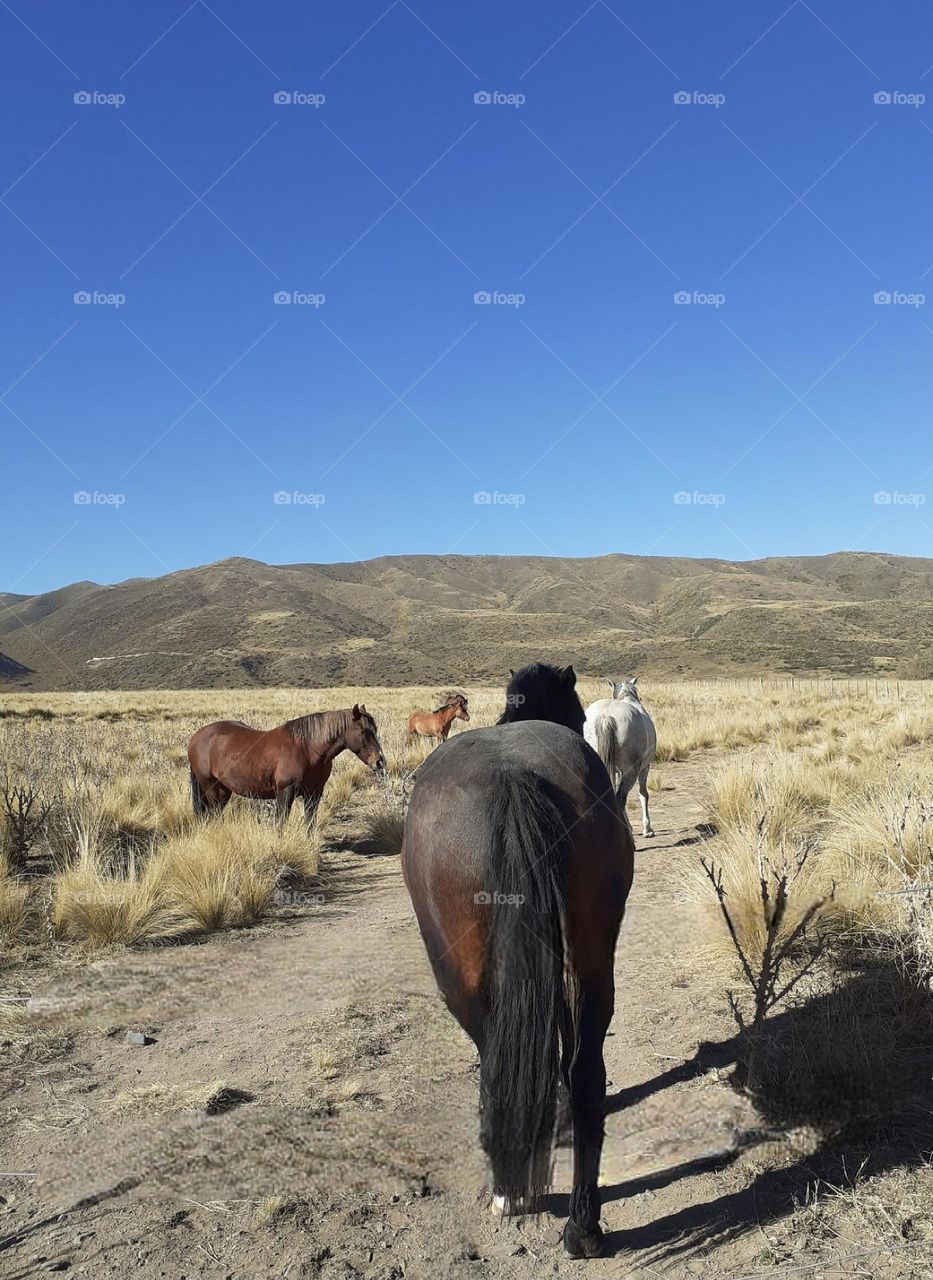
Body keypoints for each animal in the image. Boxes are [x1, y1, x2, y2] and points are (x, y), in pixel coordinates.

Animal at [186, 706, 383, 824]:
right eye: (363, 731)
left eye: (375, 729)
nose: (379, 761)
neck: (307, 749)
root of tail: (196, 737)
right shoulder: (285, 792)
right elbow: (281, 822)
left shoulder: (314, 794)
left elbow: (310, 822)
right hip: (212, 789)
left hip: (223, 790)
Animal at [399, 665, 632, 1254]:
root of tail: (513, 780)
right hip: (593, 957)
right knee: (585, 1071)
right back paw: (583, 1226)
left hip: (459, 978)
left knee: (492, 1056)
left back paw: (510, 1191)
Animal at [583, 675, 655, 844]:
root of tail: (606, 716)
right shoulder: (645, 768)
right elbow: (643, 794)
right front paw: (647, 829)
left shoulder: (614, 771)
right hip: (631, 771)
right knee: (620, 798)